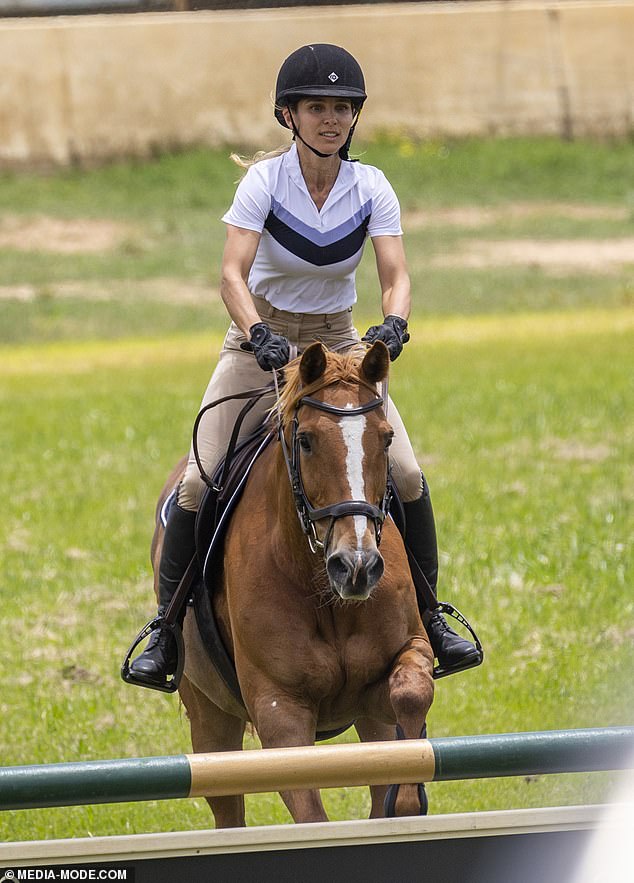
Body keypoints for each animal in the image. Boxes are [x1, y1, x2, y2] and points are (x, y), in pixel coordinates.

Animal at [151, 342, 432, 824]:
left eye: (386, 437)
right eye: (306, 441)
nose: (355, 566)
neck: (324, 591)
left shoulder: (400, 661)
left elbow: (411, 695)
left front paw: (408, 799)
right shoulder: (279, 709)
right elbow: (309, 812)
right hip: (209, 717)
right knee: (227, 808)